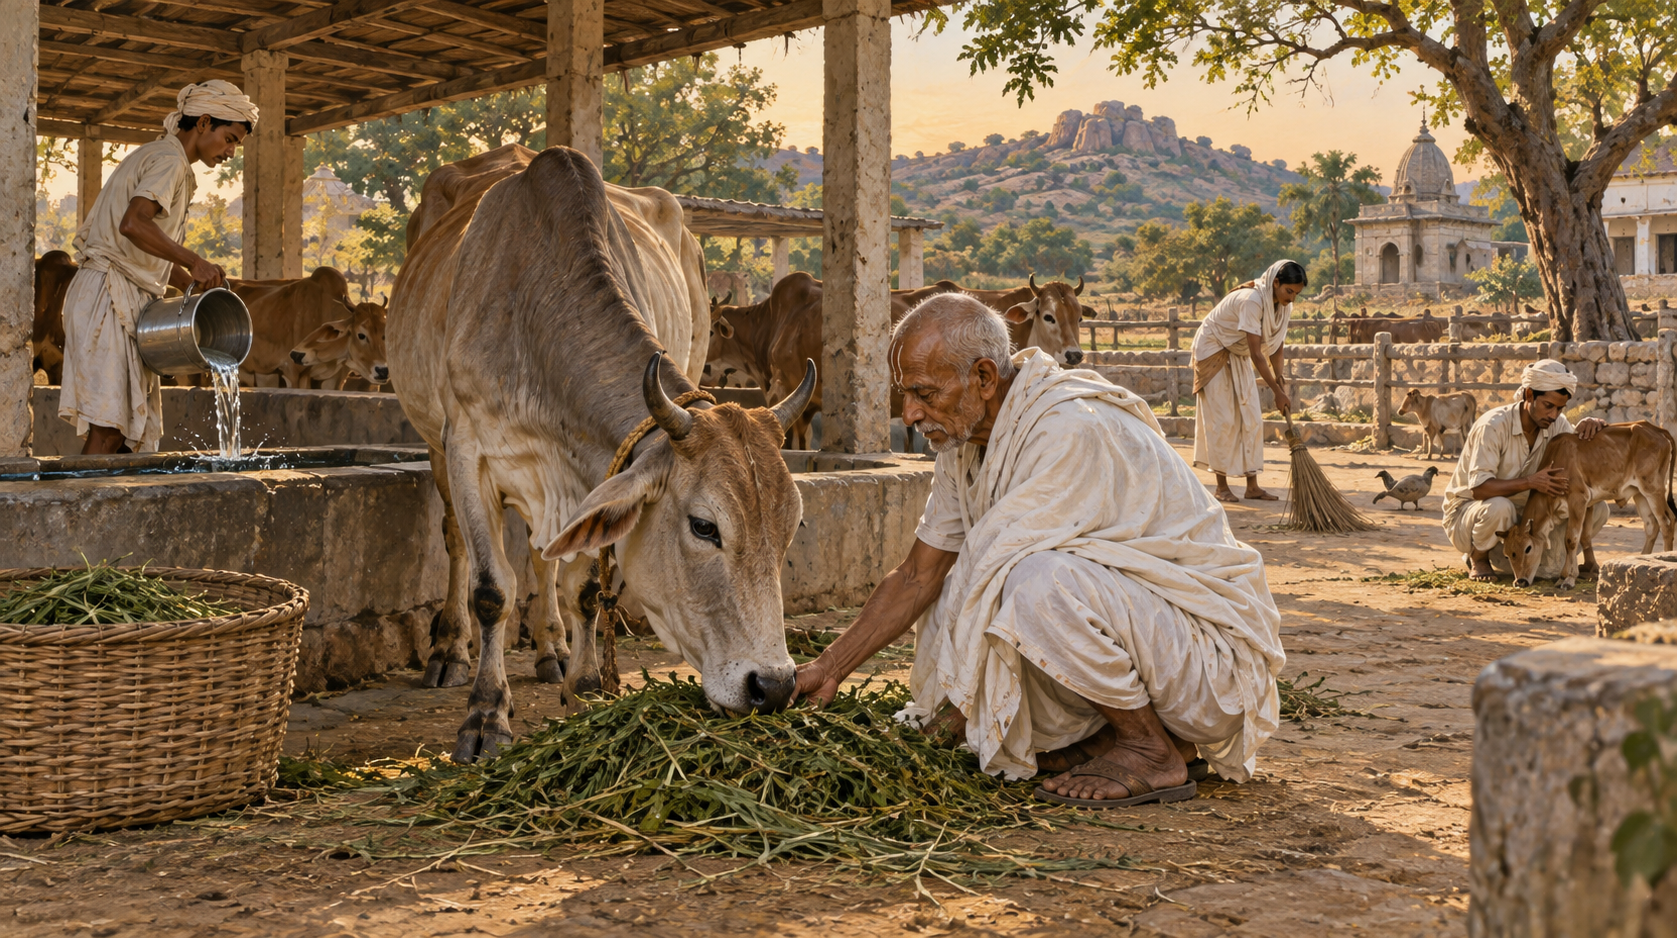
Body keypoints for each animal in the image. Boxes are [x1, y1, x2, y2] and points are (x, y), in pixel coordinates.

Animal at [388, 143, 805, 762]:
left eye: (789, 527)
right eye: (704, 526)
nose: (773, 685)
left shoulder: (592, 471)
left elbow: (582, 587)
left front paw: (585, 686)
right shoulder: (465, 451)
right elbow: (492, 590)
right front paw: (485, 717)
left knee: (544, 557)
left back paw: (553, 651)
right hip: (434, 445)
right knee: (458, 544)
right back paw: (450, 651)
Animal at [1500, 422, 1677, 589]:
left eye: (1528, 548)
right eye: (1507, 554)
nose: (1520, 581)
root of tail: (1656, 429)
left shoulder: (1578, 498)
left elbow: (1571, 539)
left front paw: (1568, 579)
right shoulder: (1588, 505)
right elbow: (1583, 537)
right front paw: (1566, 576)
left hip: (1653, 489)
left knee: (1667, 522)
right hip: (1640, 493)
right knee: (1652, 525)